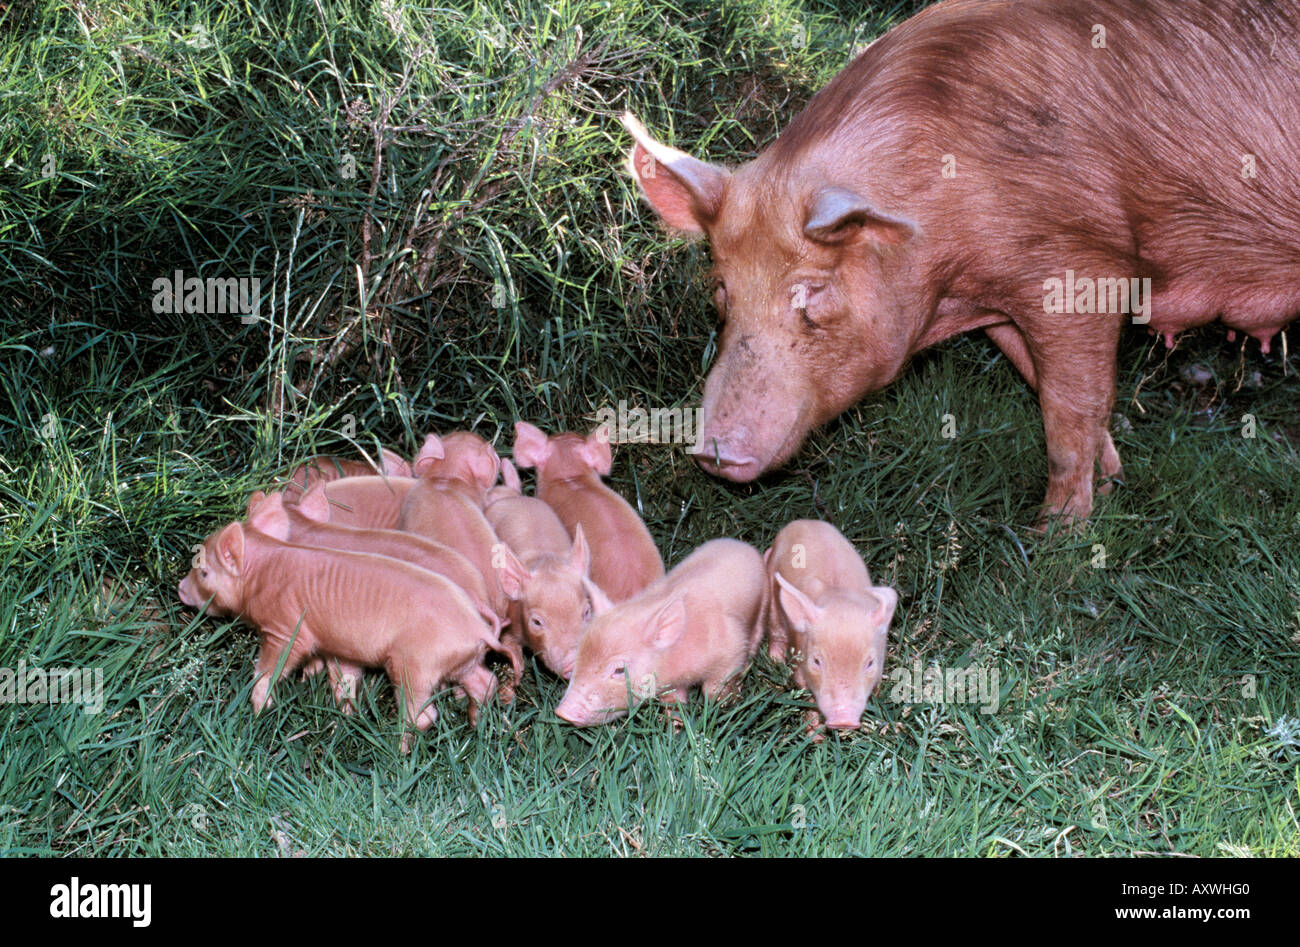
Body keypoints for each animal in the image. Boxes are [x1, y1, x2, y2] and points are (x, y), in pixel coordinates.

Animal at [177, 520, 506, 751]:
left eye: (204, 572)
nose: (180, 588)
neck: (261, 574)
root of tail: (476, 626)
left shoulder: (285, 629)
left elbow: (270, 669)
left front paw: (260, 709)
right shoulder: (340, 648)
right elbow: (344, 682)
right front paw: (342, 720)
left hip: (415, 665)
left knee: (423, 715)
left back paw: (396, 752)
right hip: (462, 662)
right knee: (486, 683)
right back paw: (476, 725)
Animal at [555, 538, 763, 726]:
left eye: (620, 670)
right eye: (580, 656)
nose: (562, 712)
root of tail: (738, 543)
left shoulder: (732, 645)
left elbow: (715, 687)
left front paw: (722, 705)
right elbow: (674, 701)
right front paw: (675, 727)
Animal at [622, 0, 1300, 527]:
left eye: (810, 293)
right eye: (721, 292)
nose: (712, 452)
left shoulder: (1084, 264)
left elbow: (1068, 410)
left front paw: (1054, 537)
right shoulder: (1004, 304)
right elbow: (1045, 385)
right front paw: (1112, 483)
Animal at [762, 520, 898, 732]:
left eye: (870, 663)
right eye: (816, 661)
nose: (843, 720)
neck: (839, 600)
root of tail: (802, 522)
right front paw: (815, 735)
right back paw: (776, 662)